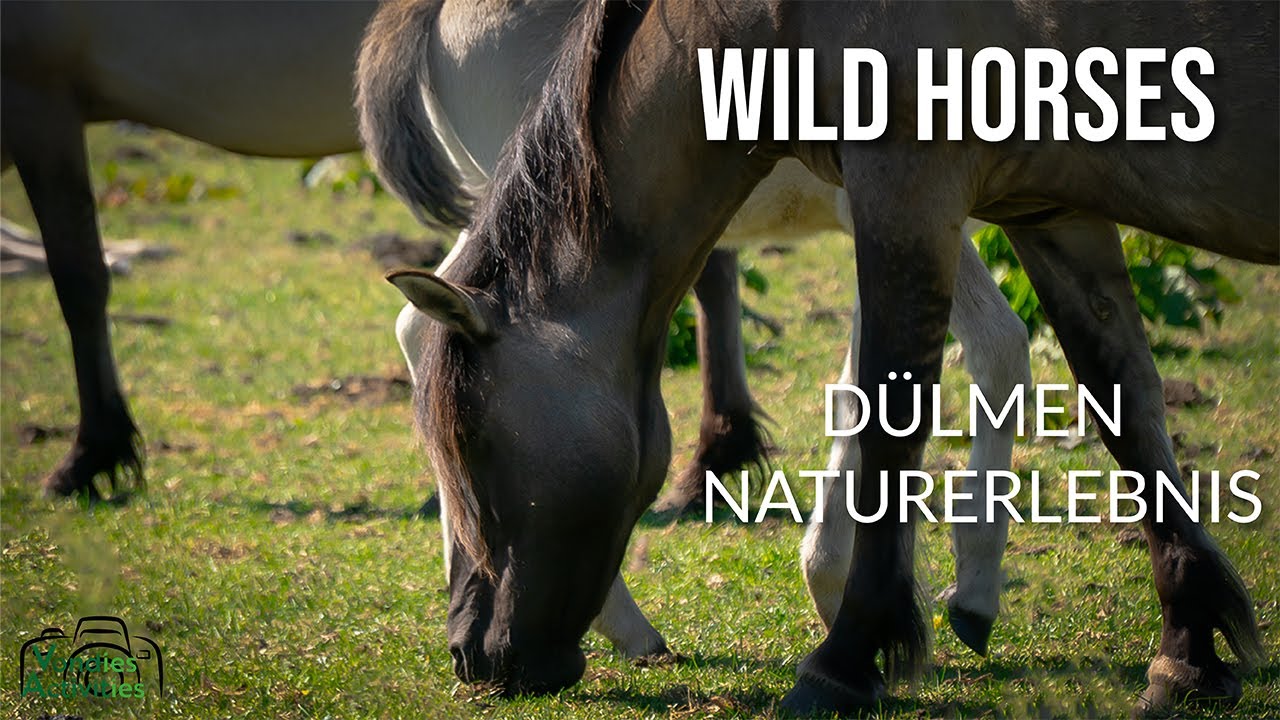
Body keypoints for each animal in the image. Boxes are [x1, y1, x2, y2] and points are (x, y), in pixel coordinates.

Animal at [372, 0, 1275, 713]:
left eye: (476, 449)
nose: (480, 654)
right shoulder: (927, 190)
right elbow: (936, 383)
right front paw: (862, 625)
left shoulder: (976, 193)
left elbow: (1103, 390)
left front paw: (1187, 651)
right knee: (418, 325)